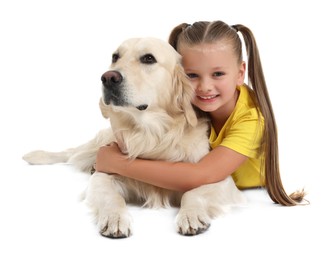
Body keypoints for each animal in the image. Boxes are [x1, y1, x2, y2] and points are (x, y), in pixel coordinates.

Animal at [22, 37, 246, 239]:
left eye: (148, 58)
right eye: (115, 57)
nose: (108, 77)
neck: (151, 134)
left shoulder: (218, 177)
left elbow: (193, 193)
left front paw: (191, 216)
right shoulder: (103, 174)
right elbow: (111, 196)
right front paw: (115, 218)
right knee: (70, 153)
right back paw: (36, 155)